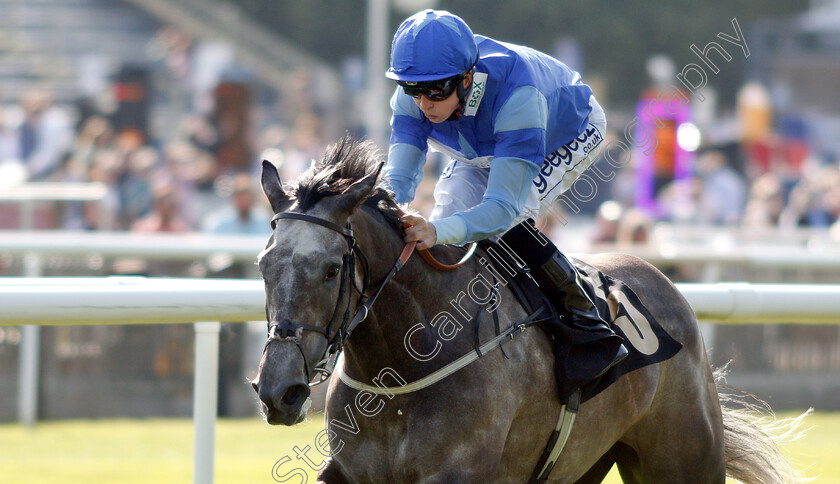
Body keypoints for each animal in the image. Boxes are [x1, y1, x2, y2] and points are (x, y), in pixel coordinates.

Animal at [253, 137, 804, 484]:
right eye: (263, 264)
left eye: (330, 270)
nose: (279, 391)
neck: (402, 367)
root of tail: (667, 283)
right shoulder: (347, 472)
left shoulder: (458, 473)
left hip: (684, 458)